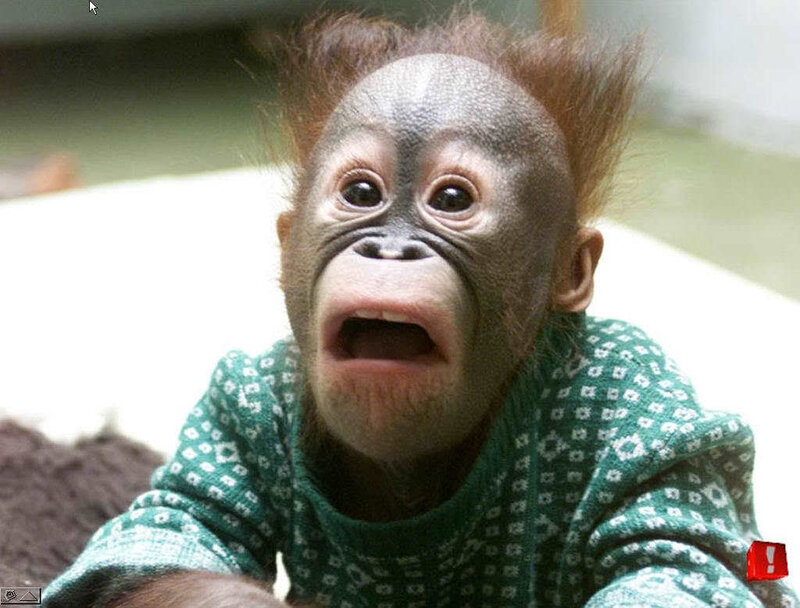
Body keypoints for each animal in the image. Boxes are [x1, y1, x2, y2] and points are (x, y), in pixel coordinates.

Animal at [42, 11, 798, 608]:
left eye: (452, 199)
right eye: (361, 192)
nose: (390, 249)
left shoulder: (640, 402)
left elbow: (674, 555)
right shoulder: (238, 403)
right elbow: (168, 532)